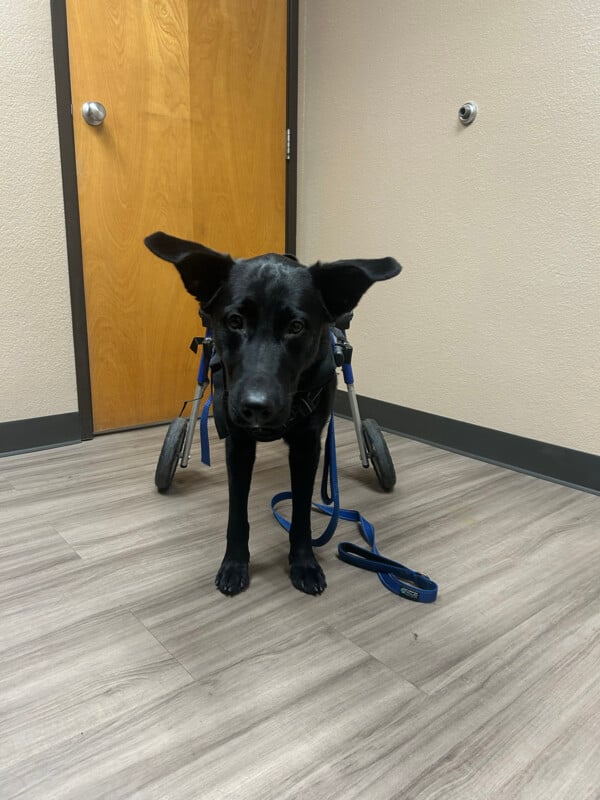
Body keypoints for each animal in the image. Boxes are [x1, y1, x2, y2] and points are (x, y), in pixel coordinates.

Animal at [144, 231, 400, 592]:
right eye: (234, 321)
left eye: (296, 326)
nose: (256, 407)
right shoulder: (238, 444)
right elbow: (237, 513)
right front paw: (235, 564)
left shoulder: (308, 446)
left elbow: (302, 512)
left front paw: (304, 562)